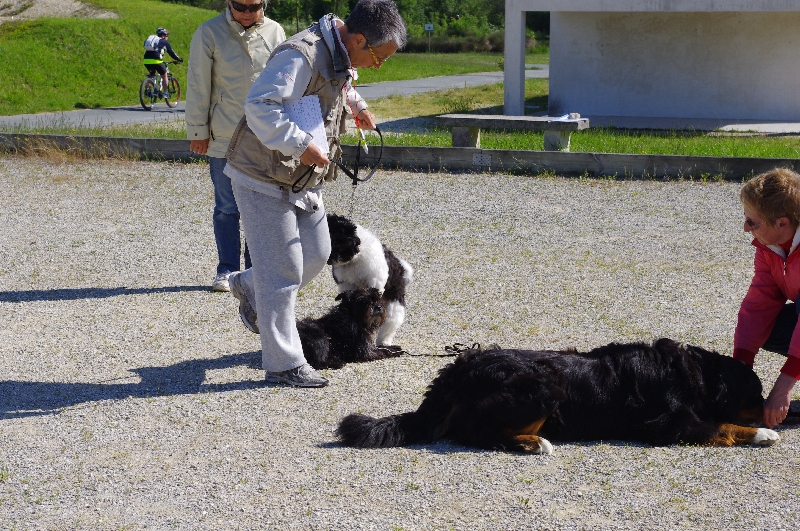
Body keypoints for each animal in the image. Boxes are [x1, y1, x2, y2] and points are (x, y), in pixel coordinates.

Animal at [324, 214, 412, 348]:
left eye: (335, 241)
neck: (355, 258)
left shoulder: (375, 280)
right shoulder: (346, 284)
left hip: (394, 304)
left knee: (390, 323)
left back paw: (384, 341)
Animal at [338, 338, 780, 456]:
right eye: (757, 392)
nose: (778, 411)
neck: (694, 374)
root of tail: (463, 365)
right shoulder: (670, 423)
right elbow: (722, 425)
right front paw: (762, 433)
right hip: (545, 385)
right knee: (477, 433)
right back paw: (535, 443)